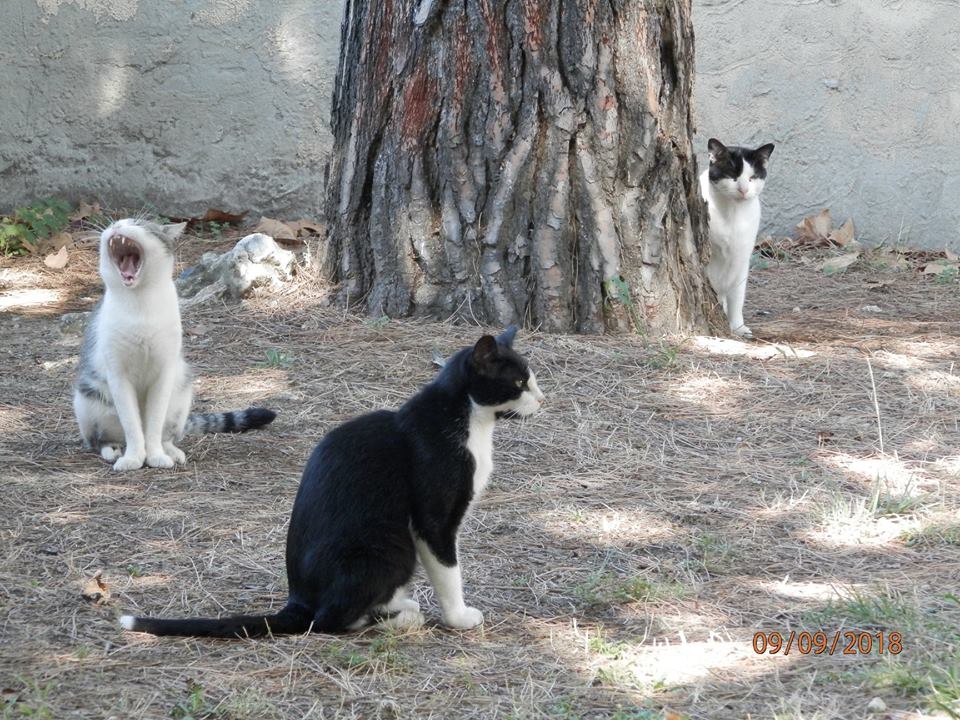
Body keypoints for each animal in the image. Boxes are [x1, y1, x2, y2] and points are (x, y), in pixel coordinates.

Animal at [73, 215, 276, 472]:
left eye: (137, 223)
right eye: (113, 224)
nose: (115, 226)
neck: (140, 302)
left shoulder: (165, 371)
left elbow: (154, 423)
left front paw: (155, 456)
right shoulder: (118, 374)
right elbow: (132, 425)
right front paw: (133, 458)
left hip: (181, 393)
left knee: (166, 434)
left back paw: (171, 451)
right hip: (88, 399)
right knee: (101, 438)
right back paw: (113, 450)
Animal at [120, 326, 544, 636]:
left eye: (532, 380)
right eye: (519, 383)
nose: (542, 399)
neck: (468, 421)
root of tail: (298, 600)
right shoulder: (433, 520)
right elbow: (448, 571)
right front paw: (459, 617)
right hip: (389, 546)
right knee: (329, 621)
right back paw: (399, 618)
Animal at [700, 139, 776, 340]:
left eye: (752, 178)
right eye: (732, 175)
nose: (744, 190)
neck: (733, 213)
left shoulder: (741, 259)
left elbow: (737, 297)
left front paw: (738, 327)